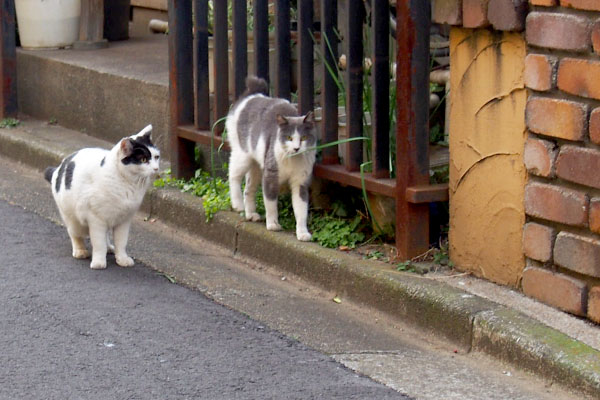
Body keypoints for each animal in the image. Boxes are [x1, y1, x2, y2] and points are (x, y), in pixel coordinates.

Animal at [44, 124, 159, 268]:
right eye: (143, 159)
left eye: (156, 157)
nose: (156, 168)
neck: (128, 183)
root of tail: (59, 168)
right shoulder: (96, 219)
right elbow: (98, 243)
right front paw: (98, 262)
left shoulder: (124, 220)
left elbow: (121, 242)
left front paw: (122, 259)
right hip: (74, 219)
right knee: (74, 234)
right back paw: (80, 251)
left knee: (106, 236)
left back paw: (109, 247)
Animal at [226, 76, 318, 241]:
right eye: (289, 138)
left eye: (303, 138)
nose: (296, 148)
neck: (292, 160)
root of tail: (252, 95)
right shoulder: (270, 176)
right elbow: (271, 204)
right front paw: (273, 224)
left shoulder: (300, 181)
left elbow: (301, 209)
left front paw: (302, 233)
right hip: (243, 155)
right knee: (233, 175)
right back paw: (237, 204)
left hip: (256, 166)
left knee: (248, 188)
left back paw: (251, 214)